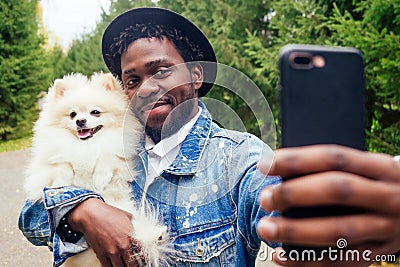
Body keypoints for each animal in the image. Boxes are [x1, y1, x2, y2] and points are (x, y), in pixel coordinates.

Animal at [23, 72, 170, 266]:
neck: (87, 145)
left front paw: (100, 177)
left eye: (95, 112)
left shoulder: (120, 158)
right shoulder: (46, 165)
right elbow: (63, 166)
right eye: (72, 114)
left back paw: (156, 235)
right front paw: (61, 183)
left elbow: (107, 157)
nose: (80, 121)